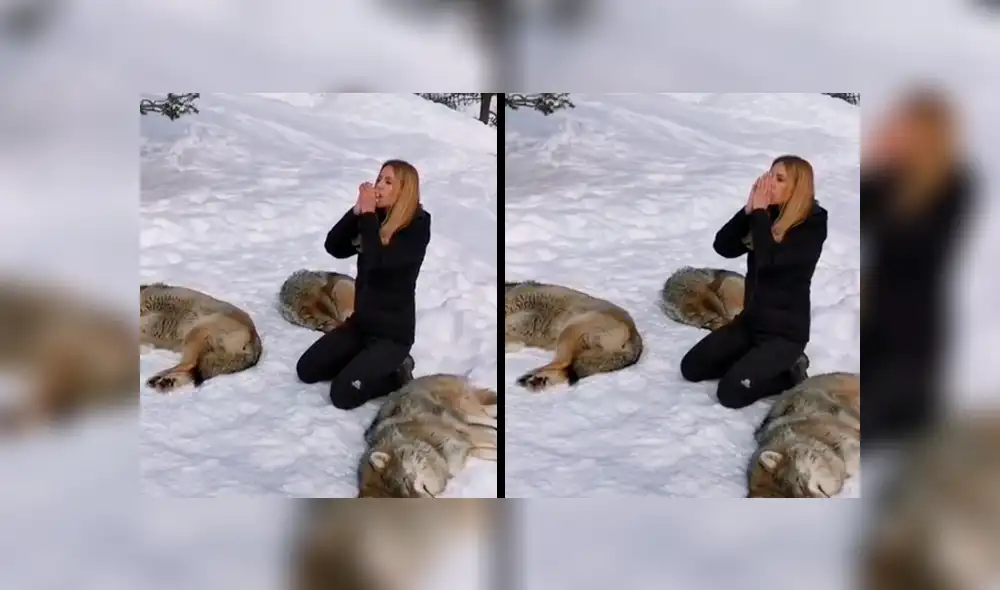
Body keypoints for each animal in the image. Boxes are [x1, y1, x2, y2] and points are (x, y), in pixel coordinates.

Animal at [504, 280, 643, 392]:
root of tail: (636, 340)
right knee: (569, 368)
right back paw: (539, 380)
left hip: (568, 332)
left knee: (564, 363)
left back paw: (530, 377)